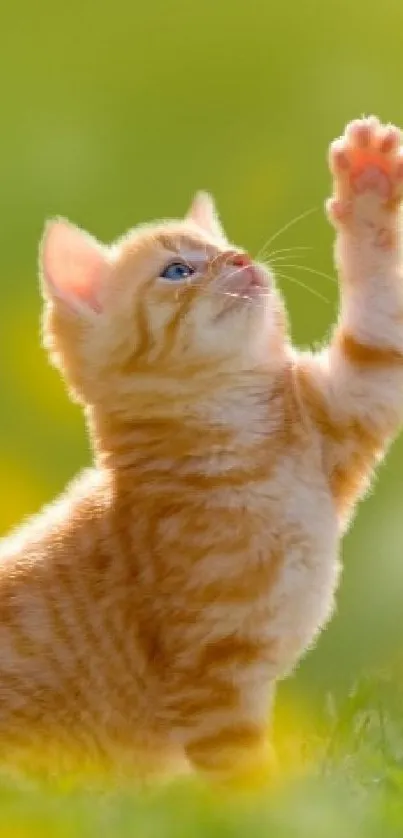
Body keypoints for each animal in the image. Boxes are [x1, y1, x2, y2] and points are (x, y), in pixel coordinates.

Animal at [0, 116, 403, 788]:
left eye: (226, 246)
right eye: (177, 272)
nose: (240, 258)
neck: (241, 435)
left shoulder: (350, 401)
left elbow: (382, 323)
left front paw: (370, 189)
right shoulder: (212, 676)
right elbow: (243, 777)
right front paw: (272, 804)